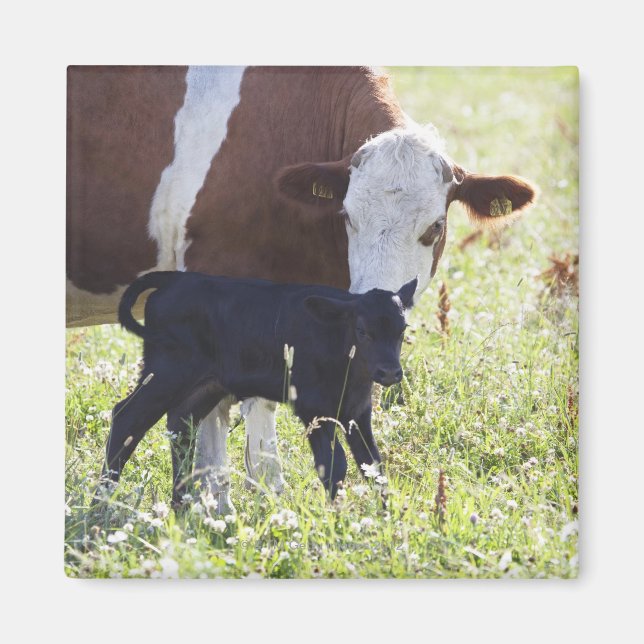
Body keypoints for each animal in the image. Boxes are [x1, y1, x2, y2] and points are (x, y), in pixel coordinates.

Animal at [101, 270, 417, 504]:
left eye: (402, 329)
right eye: (362, 331)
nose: (390, 372)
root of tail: (175, 279)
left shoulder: (357, 413)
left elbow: (372, 465)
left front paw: (384, 517)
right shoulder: (313, 408)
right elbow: (333, 465)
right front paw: (336, 518)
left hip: (206, 385)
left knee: (180, 424)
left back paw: (182, 504)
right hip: (166, 372)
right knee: (127, 418)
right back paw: (102, 502)